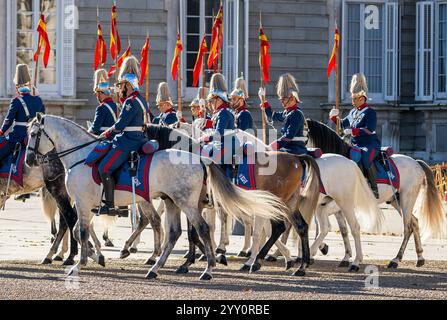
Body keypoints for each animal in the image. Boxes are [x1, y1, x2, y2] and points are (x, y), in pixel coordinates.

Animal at [25, 115, 290, 280]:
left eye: (34, 133)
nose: (29, 160)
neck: (82, 155)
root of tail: (200, 158)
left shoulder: (82, 203)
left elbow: (80, 231)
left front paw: (79, 264)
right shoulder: (88, 206)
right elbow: (82, 230)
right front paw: (95, 256)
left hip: (187, 203)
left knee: (205, 229)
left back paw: (212, 268)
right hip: (173, 201)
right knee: (174, 233)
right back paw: (156, 267)